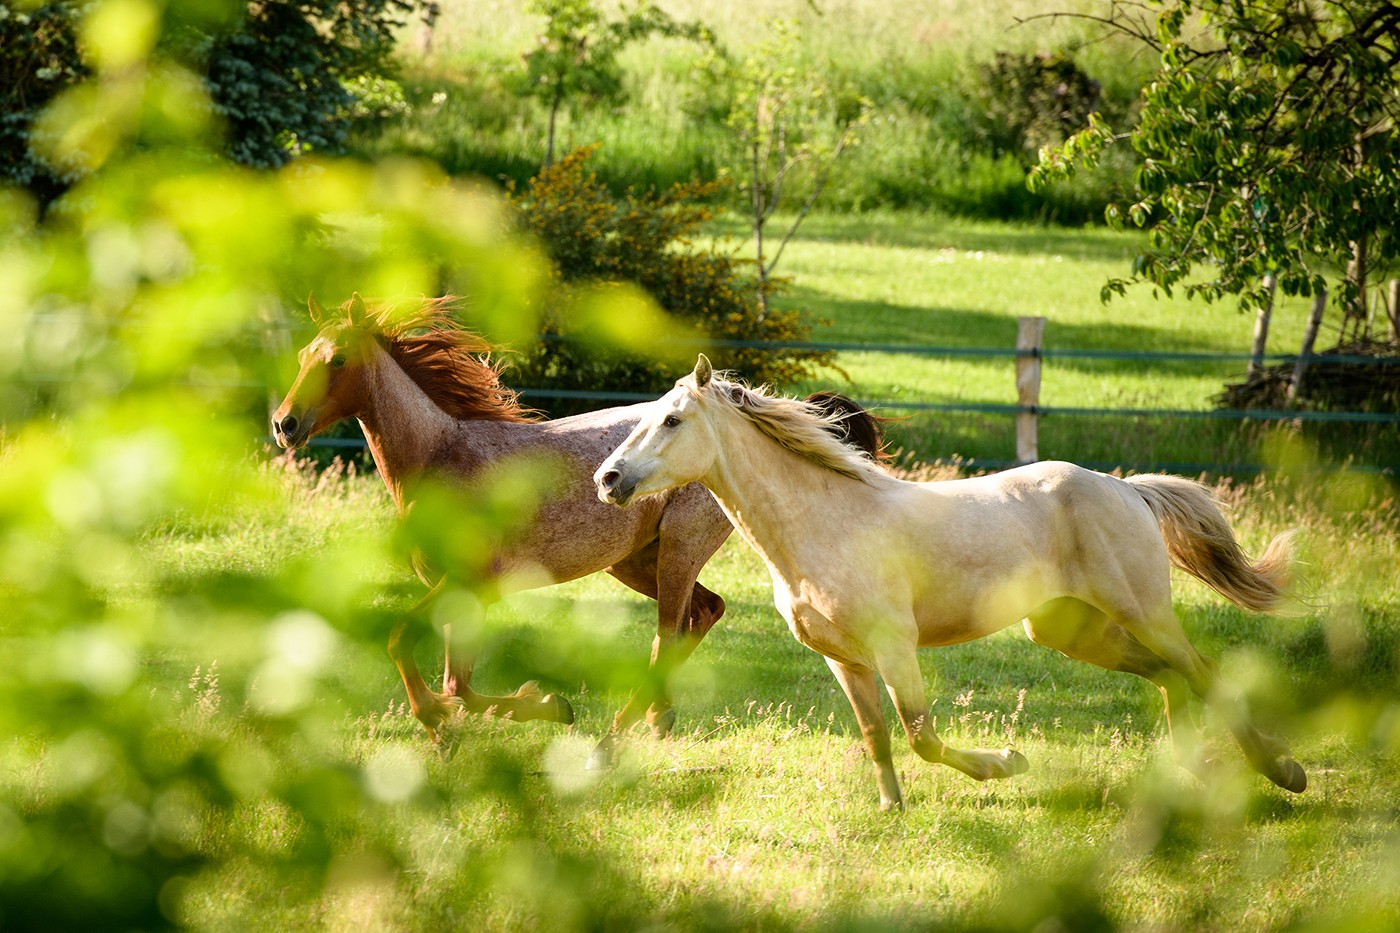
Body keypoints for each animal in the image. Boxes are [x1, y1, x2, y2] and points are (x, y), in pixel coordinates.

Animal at [594, 354, 1307, 810]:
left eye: (673, 421)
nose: (608, 480)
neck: (825, 524)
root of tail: (1126, 489)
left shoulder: (894, 647)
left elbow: (922, 736)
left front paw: (1007, 763)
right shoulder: (842, 658)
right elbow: (877, 736)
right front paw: (893, 813)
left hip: (1142, 610)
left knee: (1203, 670)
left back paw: (1284, 772)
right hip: (1070, 631)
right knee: (1168, 674)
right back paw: (1192, 770)